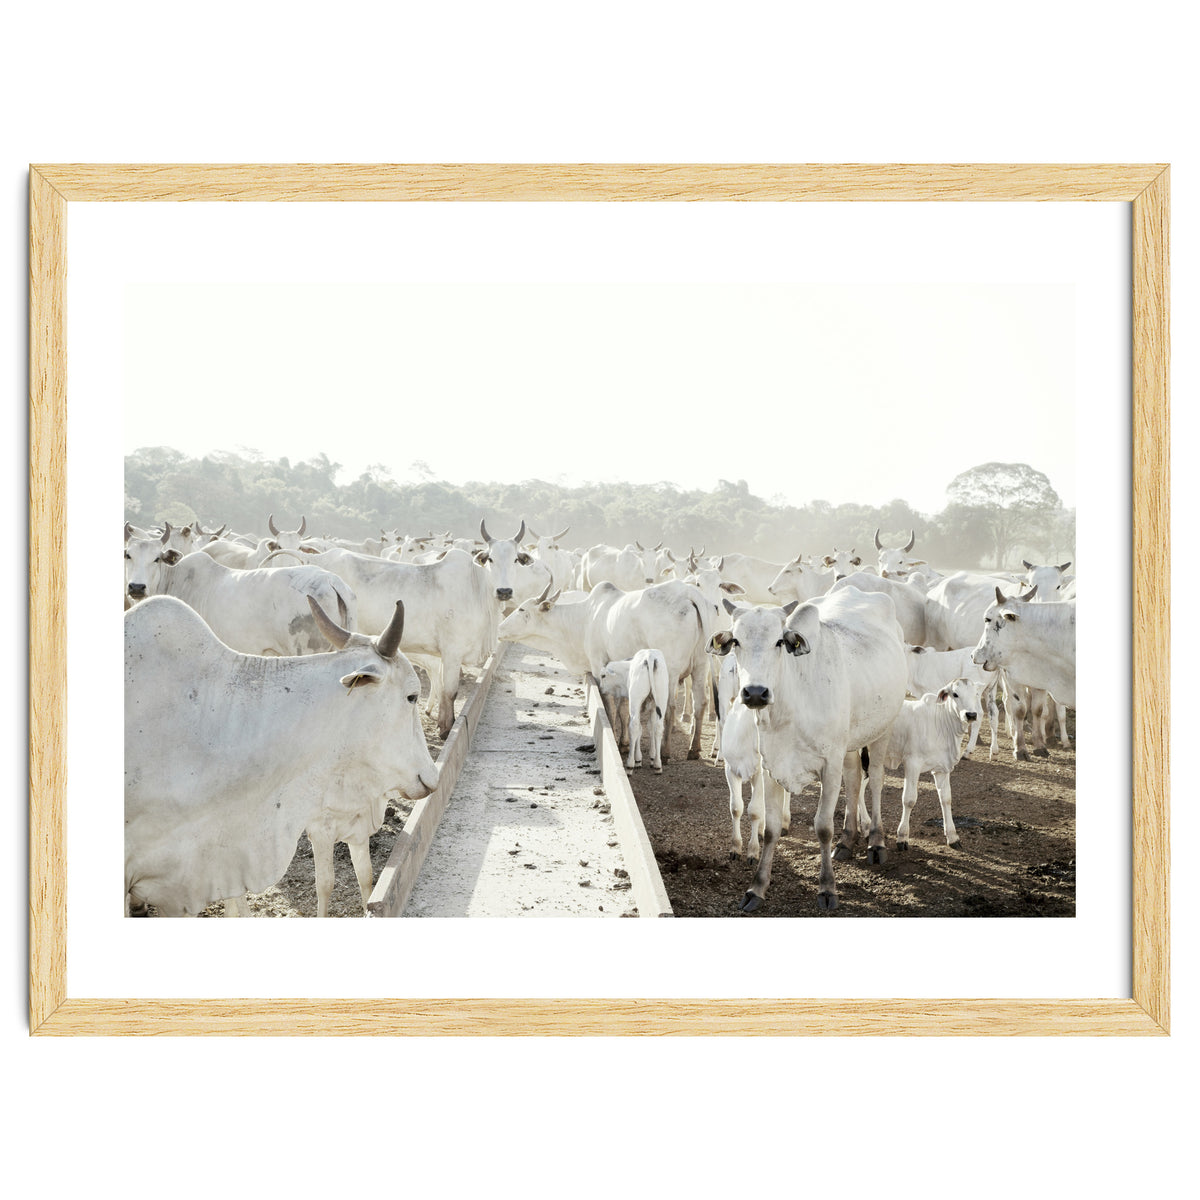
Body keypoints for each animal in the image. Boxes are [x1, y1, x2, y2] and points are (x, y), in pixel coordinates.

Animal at [498, 579, 711, 760]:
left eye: (522, 608)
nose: (500, 628)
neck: (584, 618)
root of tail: (687, 592)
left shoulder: (598, 665)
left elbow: (609, 705)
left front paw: (615, 738)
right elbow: (624, 709)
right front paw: (624, 743)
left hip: (670, 671)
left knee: (670, 707)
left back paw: (666, 752)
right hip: (701, 665)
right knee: (701, 702)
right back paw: (694, 749)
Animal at [709, 588, 907, 912]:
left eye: (779, 641)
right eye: (736, 641)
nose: (755, 693)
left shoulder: (829, 764)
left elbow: (823, 827)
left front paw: (827, 889)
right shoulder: (771, 767)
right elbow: (770, 829)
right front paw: (756, 888)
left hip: (883, 728)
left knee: (876, 779)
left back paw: (876, 842)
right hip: (848, 744)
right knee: (854, 780)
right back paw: (847, 840)